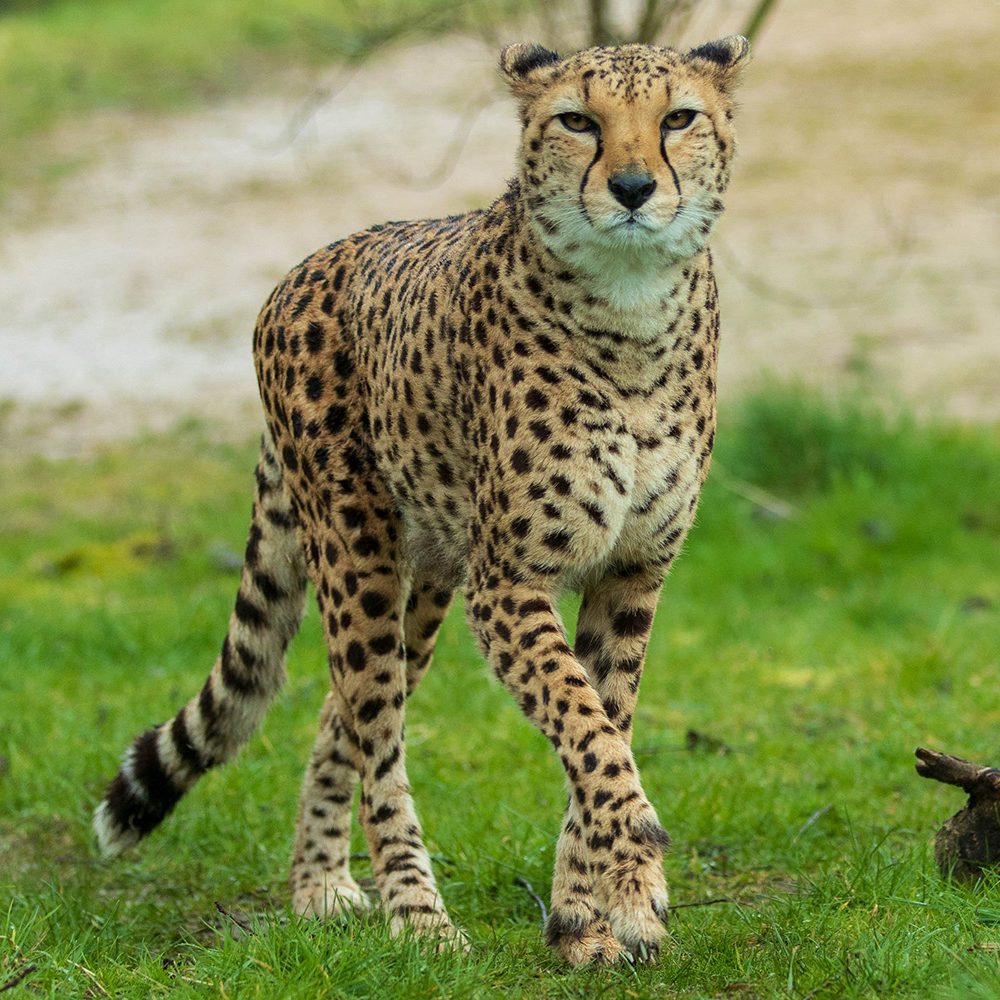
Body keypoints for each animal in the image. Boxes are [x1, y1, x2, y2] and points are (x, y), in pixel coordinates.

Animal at [94, 35, 752, 964]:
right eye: (577, 121)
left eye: (679, 118)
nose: (631, 188)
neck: (630, 309)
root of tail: (310, 263)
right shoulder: (508, 581)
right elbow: (586, 727)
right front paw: (633, 862)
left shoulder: (631, 573)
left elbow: (602, 723)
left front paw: (595, 910)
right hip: (357, 552)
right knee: (376, 731)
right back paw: (417, 917)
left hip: (431, 574)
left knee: (341, 712)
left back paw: (319, 886)